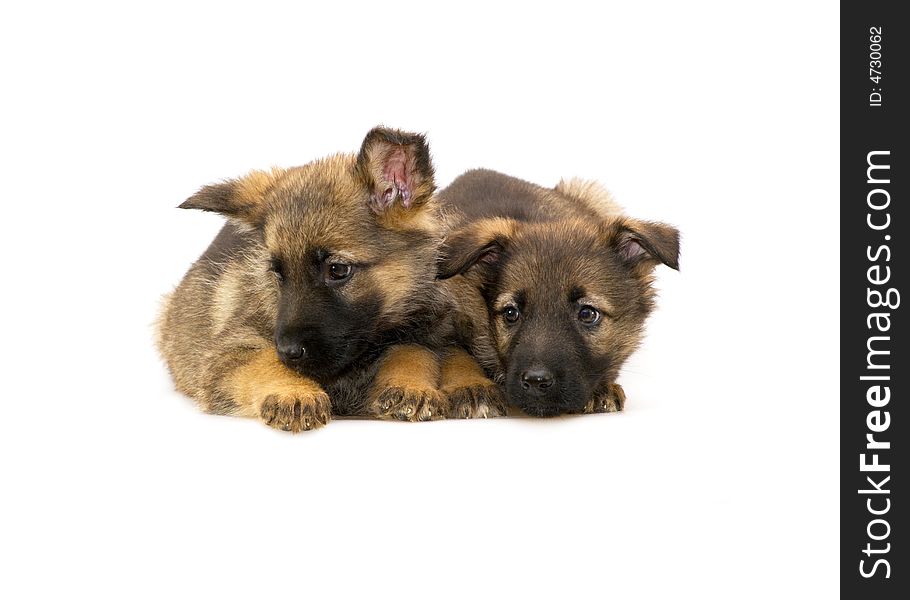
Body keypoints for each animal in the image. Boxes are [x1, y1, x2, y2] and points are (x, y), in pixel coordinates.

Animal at [157, 126, 460, 432]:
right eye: (278, 273)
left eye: (337, 270)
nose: (289, 351)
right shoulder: (230, 350)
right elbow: (263, 361)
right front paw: (293, 392)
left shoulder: (424, 331)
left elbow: (413, 352)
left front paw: (411, 385)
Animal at [438, 169, 680, 418]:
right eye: (510, 313)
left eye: (587, 314)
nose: (536, 382)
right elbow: (456, 353)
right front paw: (472, 387)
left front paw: (601, 388)